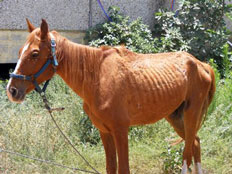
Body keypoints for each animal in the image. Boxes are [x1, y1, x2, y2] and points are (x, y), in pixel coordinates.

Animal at [6, 19, 215, 173]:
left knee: (187, 154)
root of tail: (201, 64)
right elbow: (111, 168)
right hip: (175, 116)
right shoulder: (105, 131)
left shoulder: (120, 130)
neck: (98, 77)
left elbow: (123, 169)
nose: (12, 90)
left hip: (191, 114)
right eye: (20, 51)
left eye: (34, 54)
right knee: (195, 143)